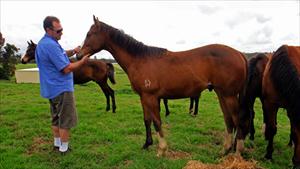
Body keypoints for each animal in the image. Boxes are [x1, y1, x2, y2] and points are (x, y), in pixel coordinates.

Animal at [77, 15, 248, 156]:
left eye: (89, 34)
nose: (78, 55)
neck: (140, 60)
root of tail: (239, 54)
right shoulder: (144, 97)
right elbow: (147, 120)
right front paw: (147, 144)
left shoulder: (151, 97)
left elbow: (157, 122)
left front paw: (161, 149)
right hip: (221, 94)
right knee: (228, 120)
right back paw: (226, 149)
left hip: (229, 95)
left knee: (236, 119)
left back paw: (237, 151)